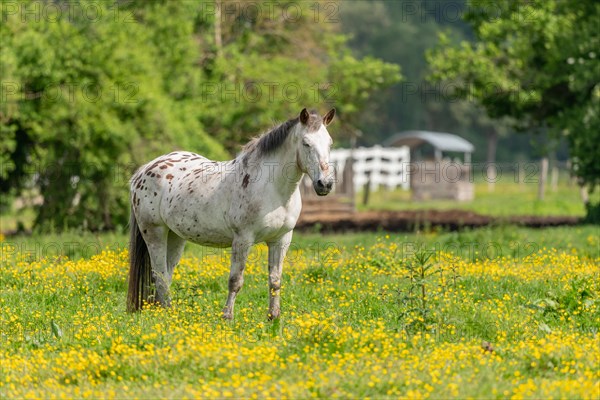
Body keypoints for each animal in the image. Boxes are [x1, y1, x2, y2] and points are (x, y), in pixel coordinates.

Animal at [126, 108, 336, 320]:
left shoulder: (281, 239)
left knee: (166, 275)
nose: (325, 184)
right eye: (306, 143)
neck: (272, 189)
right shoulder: (243, 239)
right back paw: (167, 315)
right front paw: (227, 316)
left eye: (330, 143)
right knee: (159, 275)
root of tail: (143, 171)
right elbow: (235, 281)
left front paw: (274, 317)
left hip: (175, 237)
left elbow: (275, 280)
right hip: (155, 233)